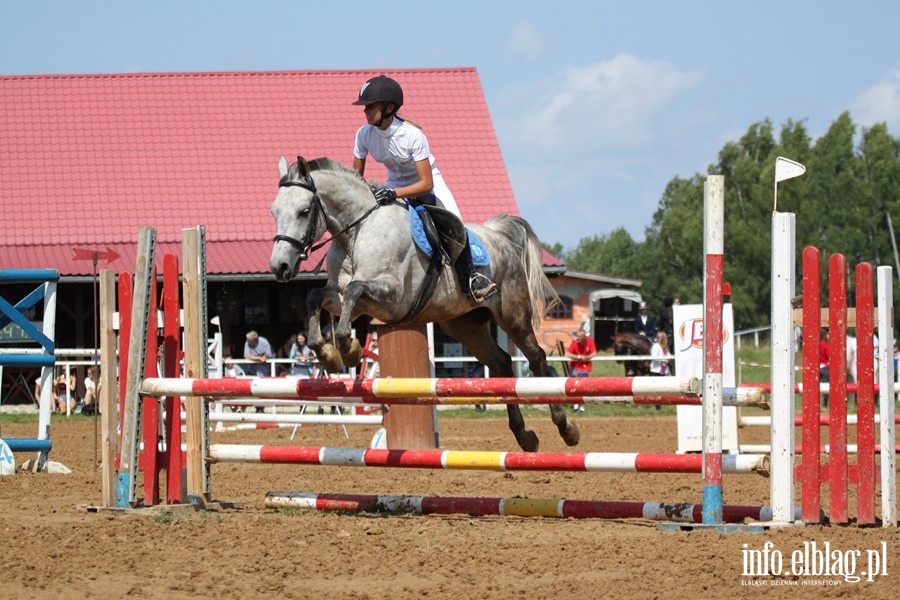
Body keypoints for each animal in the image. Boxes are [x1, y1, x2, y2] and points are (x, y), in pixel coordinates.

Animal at [268, 155, 580, 450]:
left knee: (537, 358)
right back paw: (524, 436)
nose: (279, 267)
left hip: (513, 315)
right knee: (502, 364)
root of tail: (500, 237)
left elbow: (356, 290)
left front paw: (349, 350)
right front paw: (328, 354)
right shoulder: (343, 297)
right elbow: (315, 296)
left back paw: (566, 428)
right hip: (465, 326)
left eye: (303, 211)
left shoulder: (391, 298)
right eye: (274, 212)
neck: (356, 232)